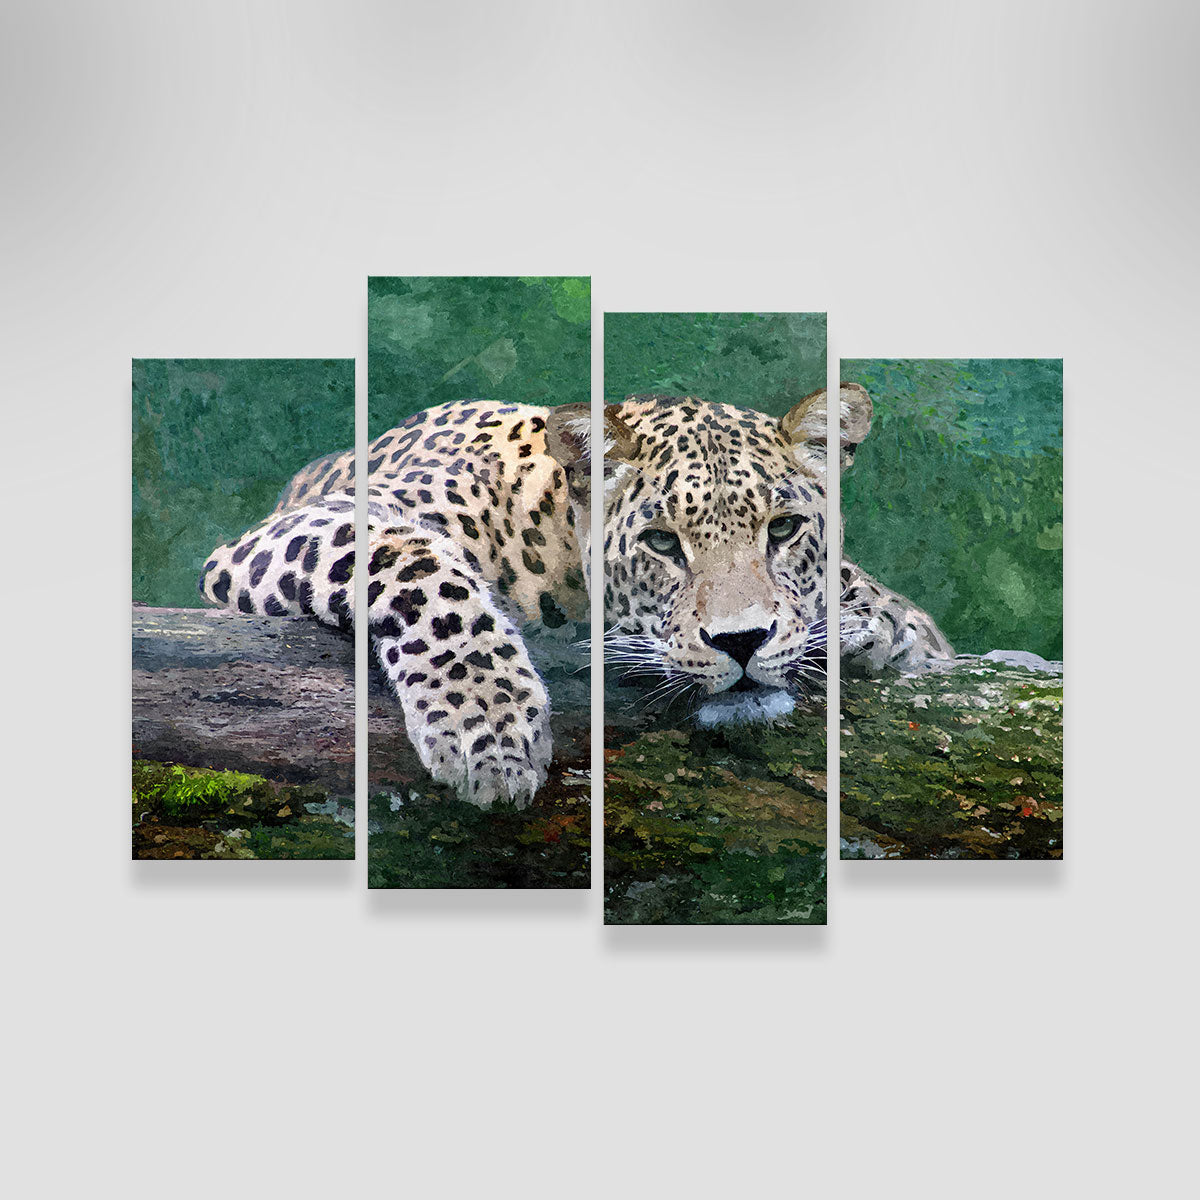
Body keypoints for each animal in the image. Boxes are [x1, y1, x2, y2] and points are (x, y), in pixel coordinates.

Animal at [199, 386, 951, 810]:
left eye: (785, 529)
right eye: (662, 542)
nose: (740, 642)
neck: (552, 535)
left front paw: (879, 623)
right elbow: (424, 571)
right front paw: (489, 730)